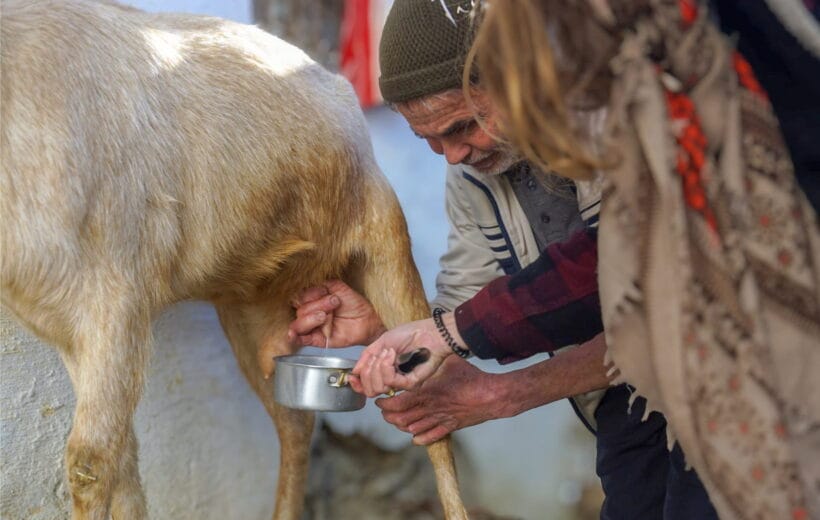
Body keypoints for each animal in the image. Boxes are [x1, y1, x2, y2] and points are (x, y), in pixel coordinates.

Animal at [0, 1, 467, 518]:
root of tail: (338, 88)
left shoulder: (118, 300)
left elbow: (92, 462)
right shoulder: (69, 330)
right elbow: (125, 465)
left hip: (386, 245)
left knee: (436, 429)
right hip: (253, 309)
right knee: (294, 425)